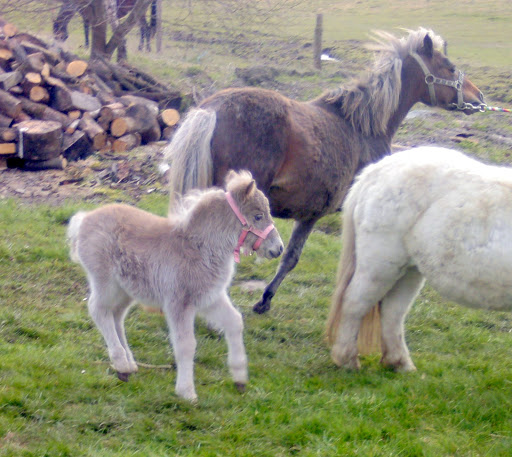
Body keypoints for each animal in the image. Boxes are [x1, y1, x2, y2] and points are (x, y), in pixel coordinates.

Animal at [67, 171, 284, 400]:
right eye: (258, 216)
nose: (278, 248)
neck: (200, 247)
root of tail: (83, 219)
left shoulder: (210, 297)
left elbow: (234, 322)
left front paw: (240, 378)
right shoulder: (179, 303)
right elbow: (186, 344)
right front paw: (186, 392)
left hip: (126, 290)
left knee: (115, 316)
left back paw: (129, 364)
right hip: (106, 282)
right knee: (98, 309)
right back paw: (121, 364)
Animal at [162, 27, 486, 314]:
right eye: (450, 67)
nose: (479, 97)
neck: (362, 126)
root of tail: (212, 110)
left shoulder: (309, 215)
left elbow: (291, 257)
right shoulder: (323, 215)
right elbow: (296, 259)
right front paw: (265, 300)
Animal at [328, 148, 512, 372]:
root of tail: (376, 170)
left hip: (409, 270)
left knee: (393, 312)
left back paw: (400, 363)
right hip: (379, 267)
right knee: (354, 303)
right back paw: (348, 360)